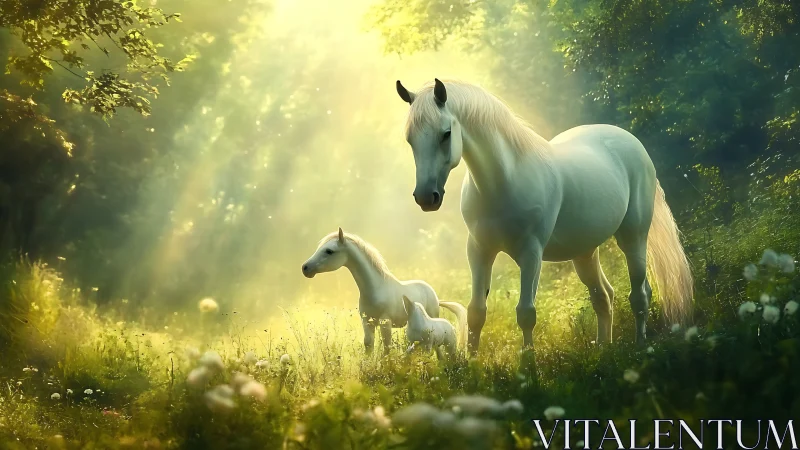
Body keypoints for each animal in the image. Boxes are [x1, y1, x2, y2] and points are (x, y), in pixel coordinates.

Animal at [301, 227, 468, 354]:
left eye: (329, 251)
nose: (305, 268)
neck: (375, 289)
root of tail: (433, 293)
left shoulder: (385, 322)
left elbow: (387, 348)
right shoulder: (367, 322)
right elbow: (369, 345)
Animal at [394, 78, 693, 353]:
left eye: (446, 134)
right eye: (410, 139)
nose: (426, 197)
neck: (504, 181)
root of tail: (632, 143)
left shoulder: (531, 253)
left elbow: (526, 313)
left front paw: (529, 368)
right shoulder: (479, 250)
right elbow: (476, 311)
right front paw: (472, 365)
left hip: (633, 238)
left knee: (640, 295)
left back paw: (641, 346)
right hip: (585, 252)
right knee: (603, 297)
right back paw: (603, 350)